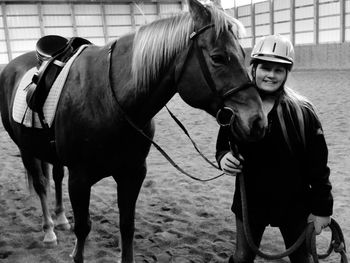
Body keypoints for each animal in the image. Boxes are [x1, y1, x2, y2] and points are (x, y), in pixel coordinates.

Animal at [0, 0, 266, 260]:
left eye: (243, 54)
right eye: (218, 57)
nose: (258, 121)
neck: (108, 100)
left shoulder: (133, 174)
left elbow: (127, 226)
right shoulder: (80, 180)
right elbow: (83, 229)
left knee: (54, 177)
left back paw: (61, 218)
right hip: (25, 149)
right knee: (41, 184)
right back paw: (49, 230)